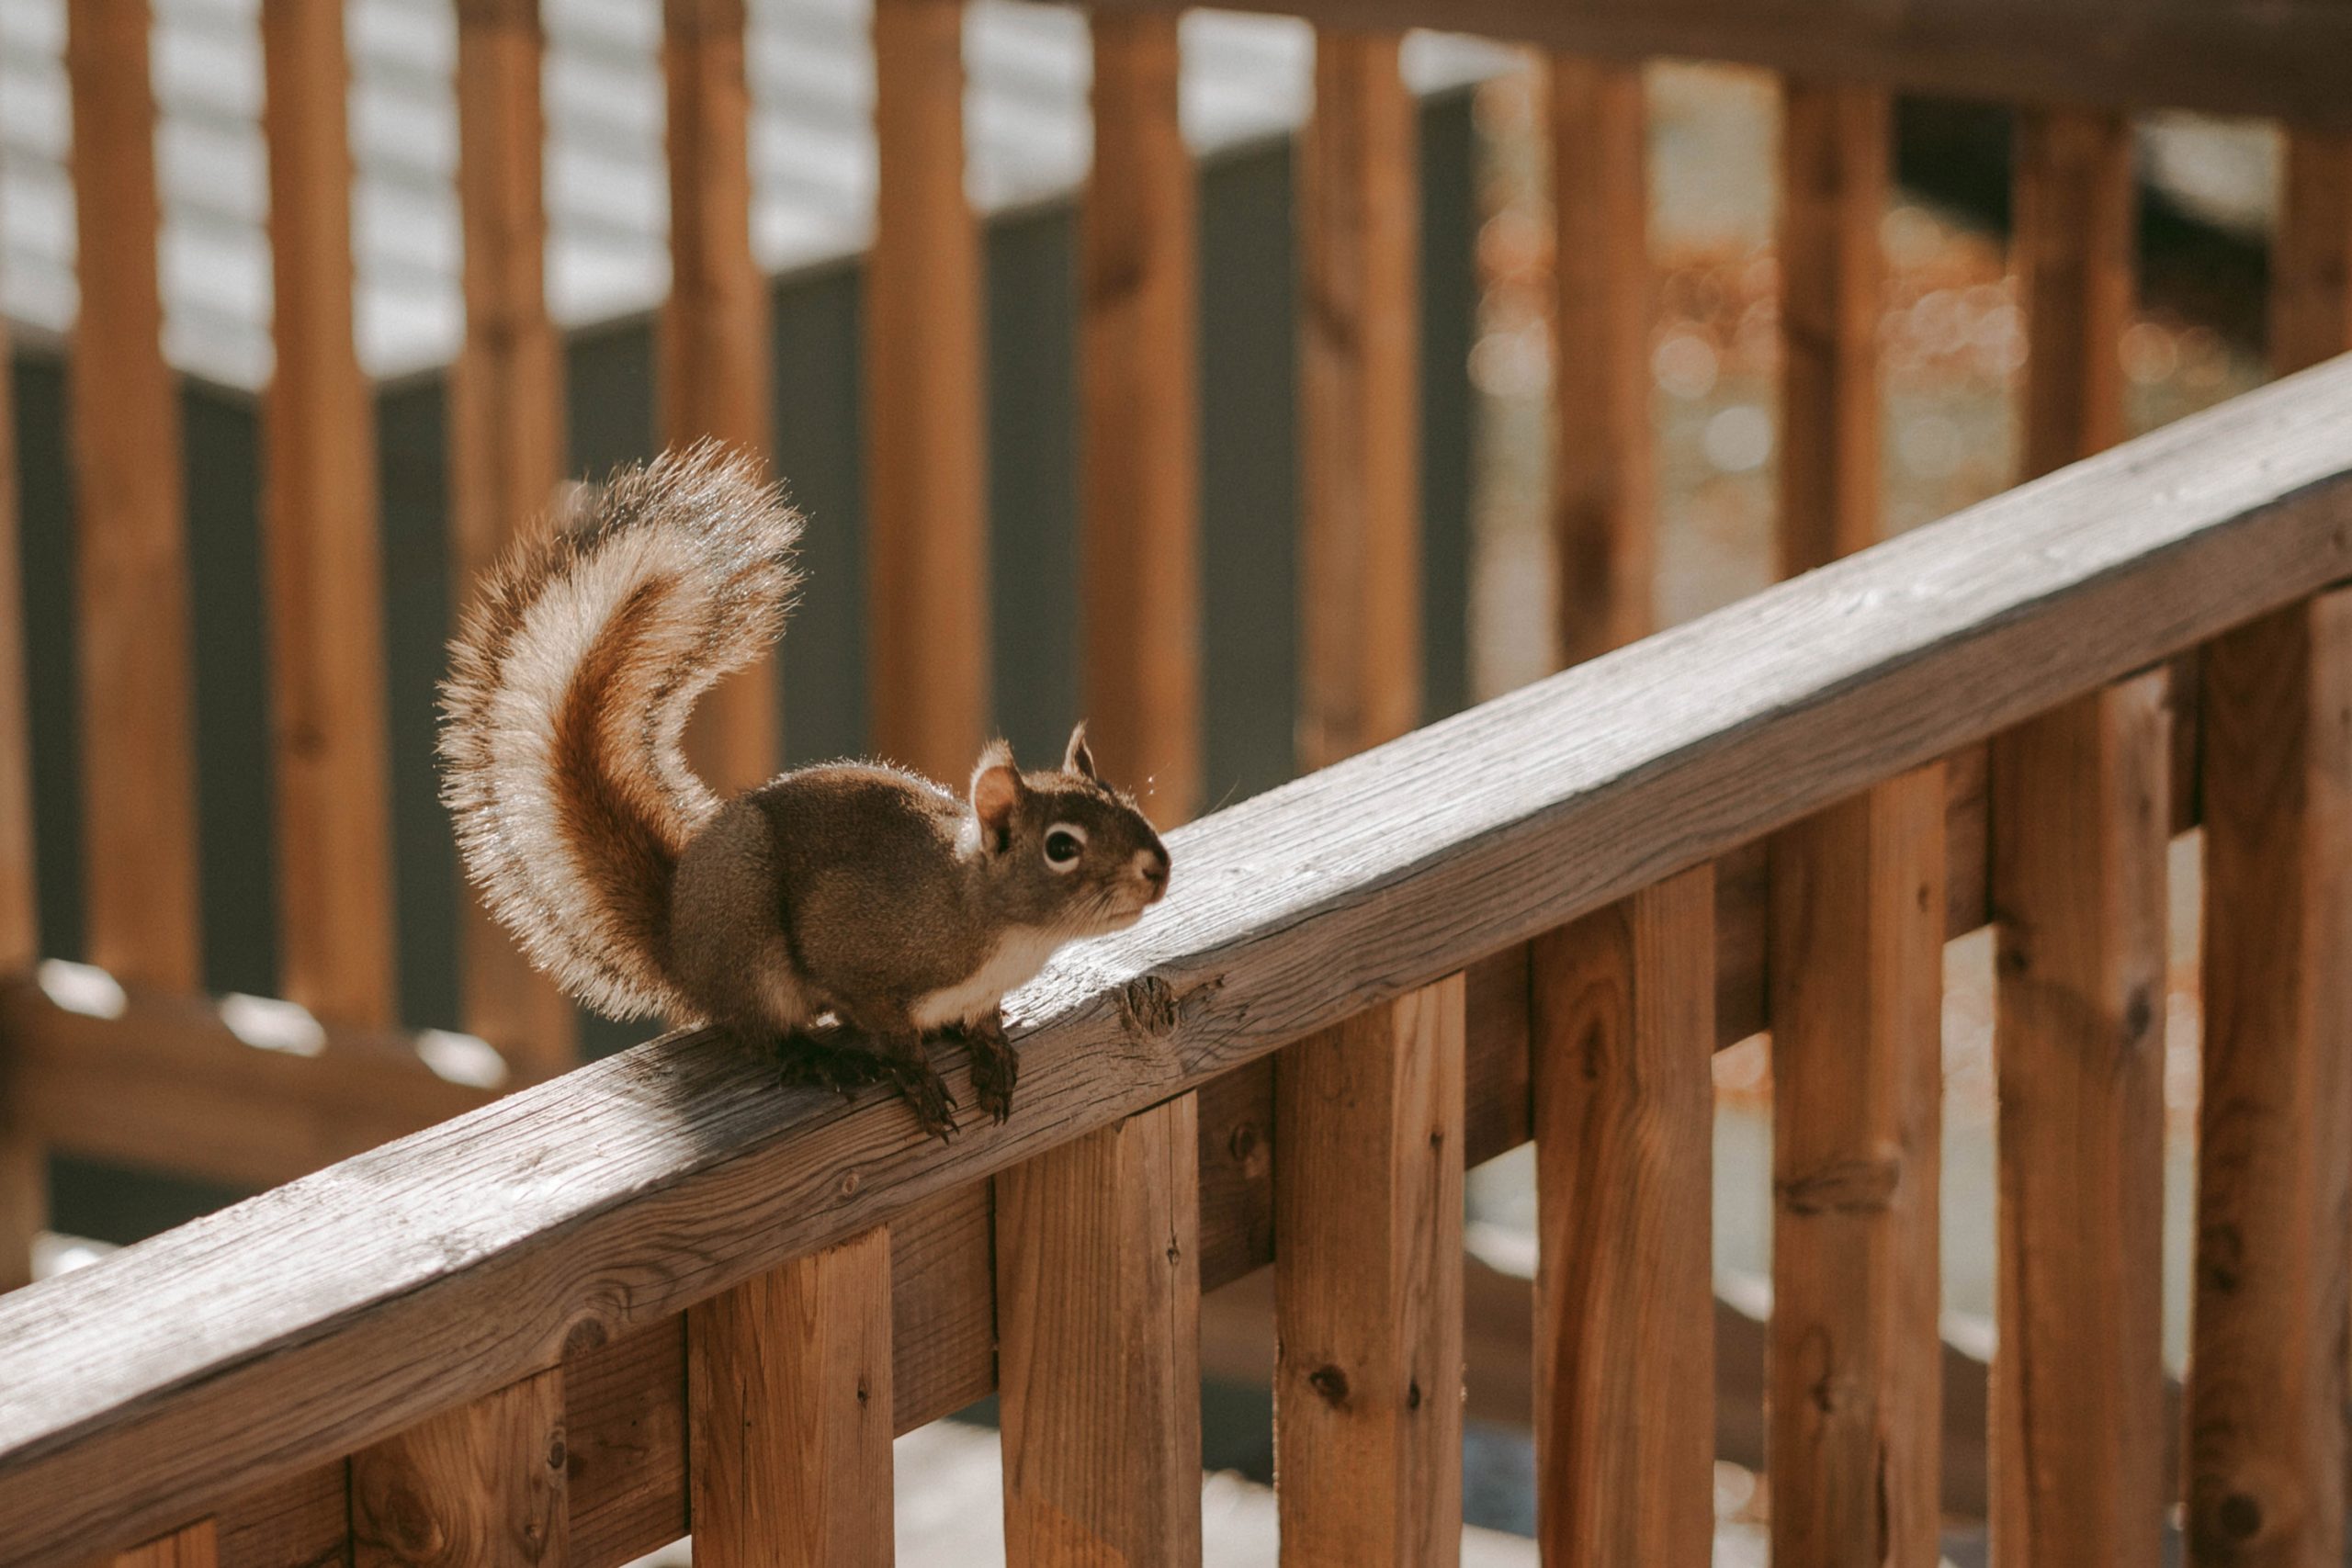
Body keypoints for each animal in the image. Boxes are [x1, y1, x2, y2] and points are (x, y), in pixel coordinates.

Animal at [437, 444, 1170, 1142]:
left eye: (1128, 805)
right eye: (1061, 847)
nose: (1157, 869)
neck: (995, 923)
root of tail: (680, 940)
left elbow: (981, 1019)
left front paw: (989, 1050)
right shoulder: (854, 943)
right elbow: (884, 1023)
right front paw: (917, 1076)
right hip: (747, 936)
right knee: (760, 1030)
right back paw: (816, 1056)